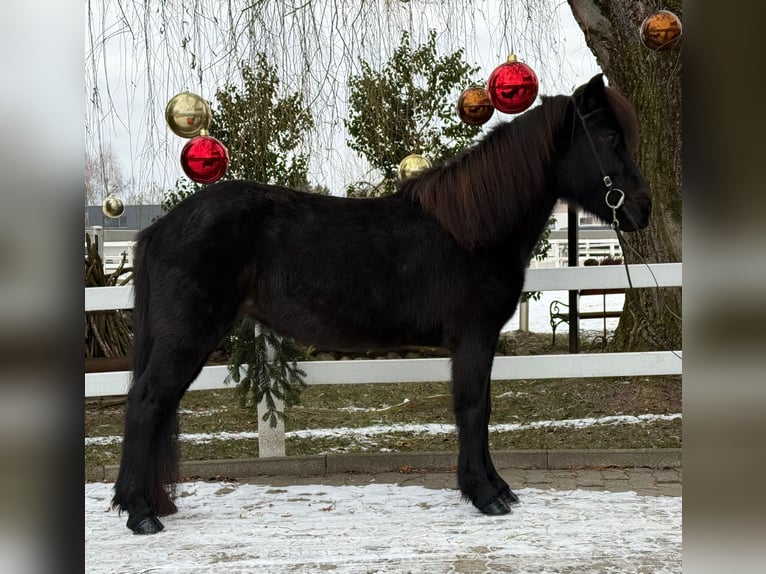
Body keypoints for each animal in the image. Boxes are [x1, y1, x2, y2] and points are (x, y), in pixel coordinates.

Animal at [111, 73, 651, 534]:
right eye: (608, 136)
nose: (642, 208)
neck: (471, 227)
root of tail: (160, 228)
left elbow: (481, 408)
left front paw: (497, 487)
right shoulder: (473, 338)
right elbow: (474, 407)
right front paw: (485, 495)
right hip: (189, 336)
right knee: (146, 403)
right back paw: (141, 513)